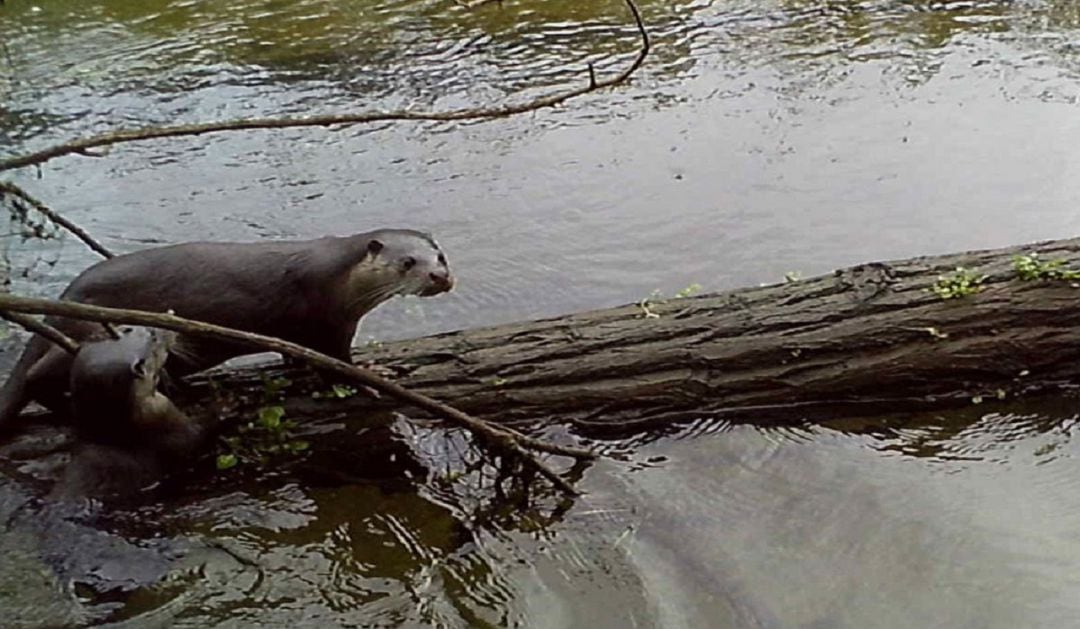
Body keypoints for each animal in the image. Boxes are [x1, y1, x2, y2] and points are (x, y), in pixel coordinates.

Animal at [0, 230, 453, 434]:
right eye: (408, 262)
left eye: (441, 256)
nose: (440, 276)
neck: (340, 279)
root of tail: (71, 292)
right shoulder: (326, 323)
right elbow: (336, 364)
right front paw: (374, 377)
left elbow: (295, 356)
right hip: (98, 331)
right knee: (41, 375)